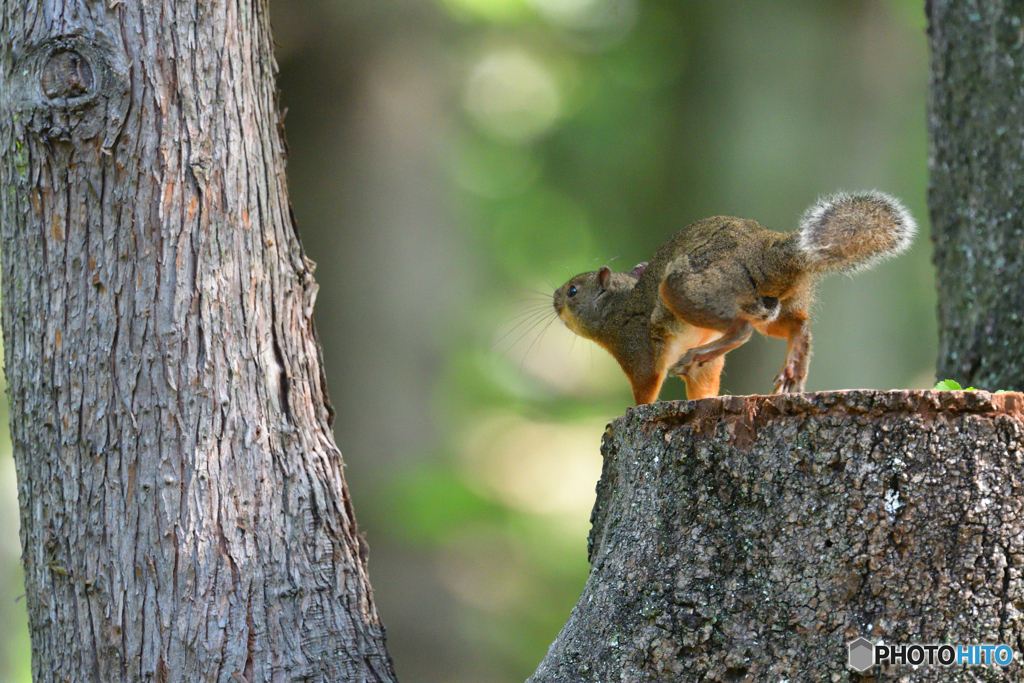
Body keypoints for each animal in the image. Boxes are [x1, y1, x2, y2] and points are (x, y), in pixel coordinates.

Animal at [557, 191, 917, 405]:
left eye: (574, 290)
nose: (555, 300)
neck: (615, 309)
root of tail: (768, 254)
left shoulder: (636, 348)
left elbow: (645, 387)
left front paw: (633, 411)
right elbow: (703, 386)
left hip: (687, 290)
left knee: (740, 330)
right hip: (774, 308)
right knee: (798, 325)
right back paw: (793, 370)